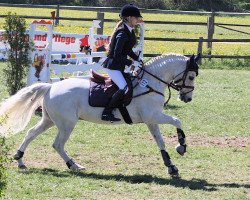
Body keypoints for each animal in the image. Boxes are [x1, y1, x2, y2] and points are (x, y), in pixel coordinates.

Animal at [0, 53, 199, 175]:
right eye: (191, 76)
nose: (187, 98)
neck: (150, 83)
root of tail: (50, 86)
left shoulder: (151, 120)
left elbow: (160, 141)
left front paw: (171, 166)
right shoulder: (153, 116)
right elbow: (177, 121)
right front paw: (181, 146)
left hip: (49, 120)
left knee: (31, 133)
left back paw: (20, 159)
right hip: (67, 124)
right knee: (57, 144)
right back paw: (74, 165)